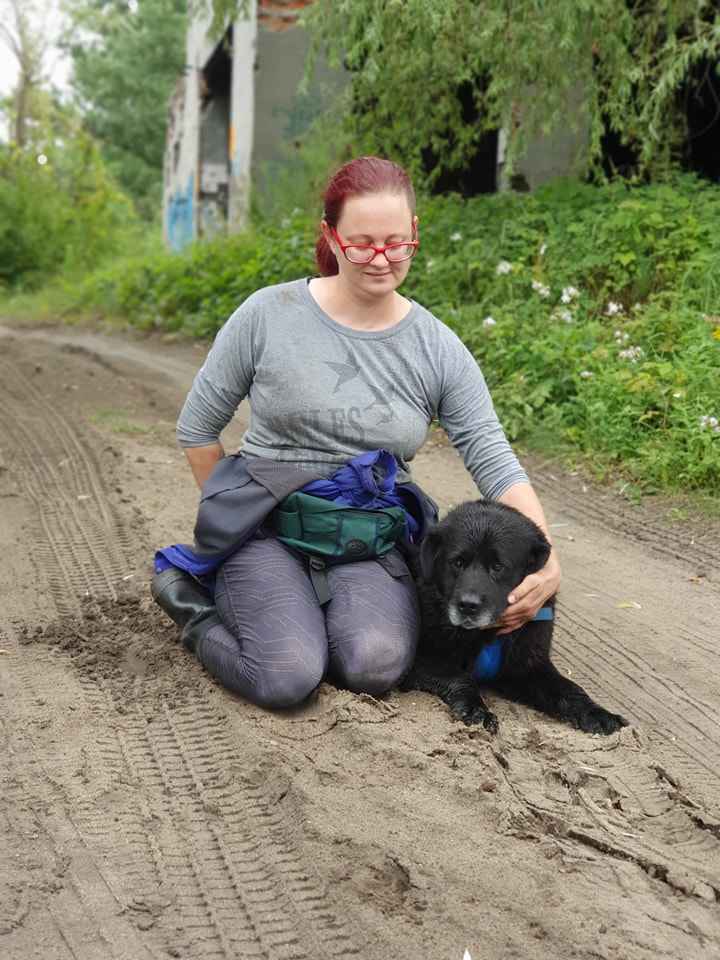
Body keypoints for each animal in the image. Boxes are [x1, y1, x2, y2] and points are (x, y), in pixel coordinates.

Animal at [402, 502, 628, 736]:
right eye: (457, 562)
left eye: (498, 566)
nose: (468, 606)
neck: (487, 634)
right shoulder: (422, 661)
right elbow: (461, 679)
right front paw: (476, 710)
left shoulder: (528, 667)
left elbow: (569, 688)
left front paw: (596, 713)